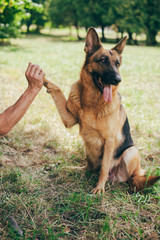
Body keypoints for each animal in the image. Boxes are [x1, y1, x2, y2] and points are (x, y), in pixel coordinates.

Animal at [43, 27, 159, 194]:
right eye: (103, 60)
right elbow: (58, 91)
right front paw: (44, 80)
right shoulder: (69, 120)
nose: (118, 79)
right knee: (89, 168)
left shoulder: (109, 140)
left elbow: (104, 167)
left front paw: (99, 188)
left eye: (117, 64)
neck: (92, 103)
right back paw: (74, 168)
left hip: (131, 152)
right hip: (88, 149)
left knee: (131, 177)